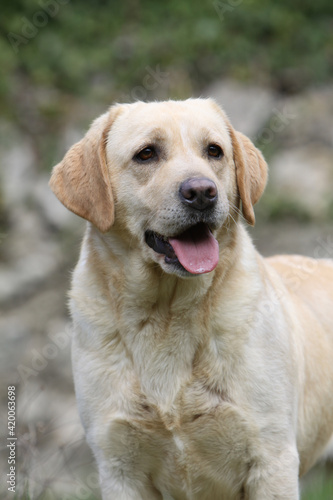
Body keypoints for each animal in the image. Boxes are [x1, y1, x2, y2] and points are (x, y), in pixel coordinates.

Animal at [49, 99, 332, 498]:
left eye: (214, 151)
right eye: (146, 153)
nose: (201, 192)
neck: (166, 313)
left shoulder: (272, 458)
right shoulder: (119, 467)